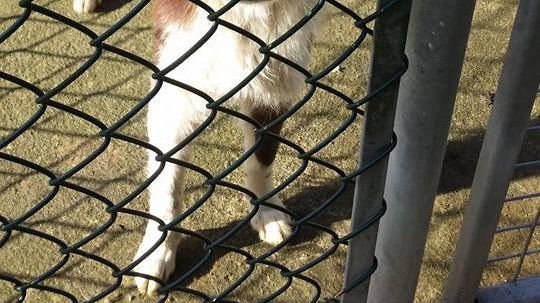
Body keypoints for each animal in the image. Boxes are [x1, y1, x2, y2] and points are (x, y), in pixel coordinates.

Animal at [72, 0, 324, 296]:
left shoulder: (274, 75)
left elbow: (261, 158)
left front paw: (267, 211)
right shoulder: (176, 81)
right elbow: (167, 186)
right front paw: (157, 253)